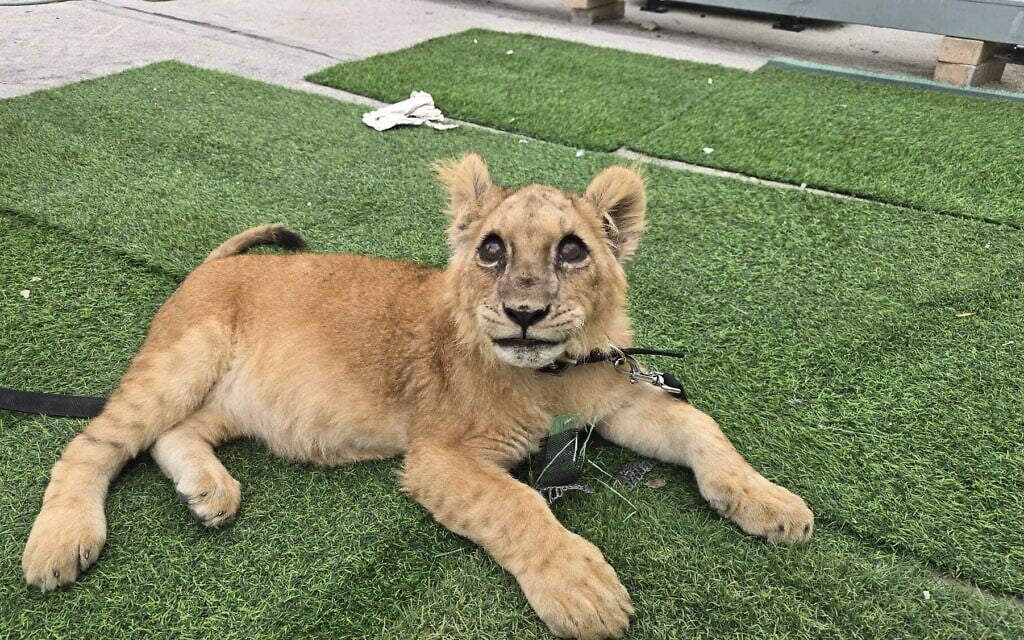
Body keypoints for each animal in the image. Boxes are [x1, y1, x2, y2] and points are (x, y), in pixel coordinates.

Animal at [22, 154, 813, 639]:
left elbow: (702, 428)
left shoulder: (618, 396)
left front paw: (773, 504)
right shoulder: (440, 455)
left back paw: (209, 493)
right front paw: (582, 589)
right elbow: (519, 505)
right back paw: (59, 543)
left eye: (572, 250)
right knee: (93, 442)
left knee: (169, 434)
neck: (552, 373)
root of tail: (212, 265)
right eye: (491, 249)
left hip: (231, 403)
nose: (525, 314)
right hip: (185, 359)